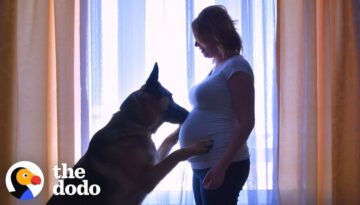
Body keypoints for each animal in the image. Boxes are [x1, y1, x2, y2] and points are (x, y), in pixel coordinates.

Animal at [46, 63, 212, 205]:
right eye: (170, 97)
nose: (188, 113)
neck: (135, 121)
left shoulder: (155, 160)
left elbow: (167, 140)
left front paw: (179, 131)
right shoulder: (148, 177)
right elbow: (175, 154)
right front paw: (196, 147)